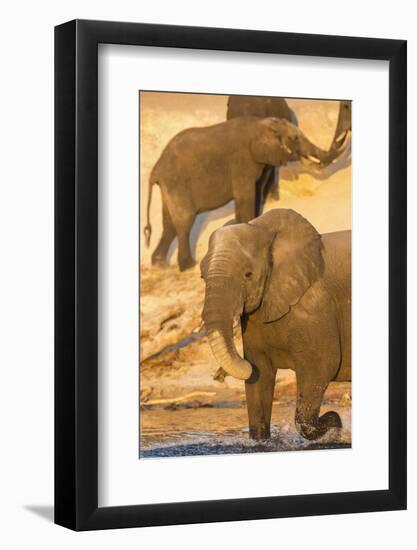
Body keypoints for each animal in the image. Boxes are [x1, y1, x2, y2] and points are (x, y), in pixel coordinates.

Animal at [144, 116, 342, 272]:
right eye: (294, 138)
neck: (260, 123)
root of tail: (156, 169)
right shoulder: (242, 161)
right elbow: (245, 196)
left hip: (170, 186)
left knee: (169, 224)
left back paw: (160, 265)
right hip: (177, 182)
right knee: (184, 221)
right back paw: (188, 266)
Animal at [200, 209, 350, 442]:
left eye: (248, 274)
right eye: (202, 276)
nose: (218, 376)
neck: (262, 228)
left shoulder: (315, 306)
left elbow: (321, 366)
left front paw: (335, 423)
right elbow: (260, 374)